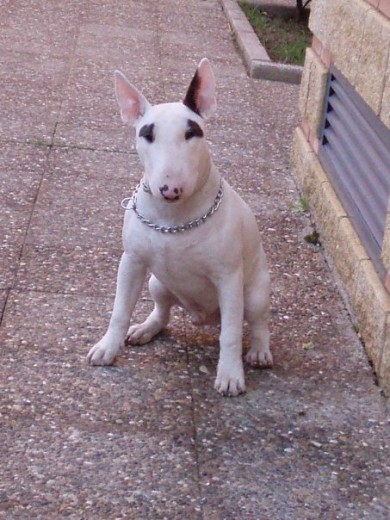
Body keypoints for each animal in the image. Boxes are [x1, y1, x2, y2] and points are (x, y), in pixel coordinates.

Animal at [87, 57, 272, 396]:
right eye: (147, 134)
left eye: (192, 133)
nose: (169, 189)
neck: (174, 220)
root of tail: (202, 318)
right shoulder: (131, 262)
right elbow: (120, 310)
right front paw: (107, 347)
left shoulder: (228, 278)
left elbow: (230, 334)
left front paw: (229, 375)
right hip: (156, 283)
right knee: (162, 312)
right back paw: (144, 329)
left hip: (254, 293)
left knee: (256, 322)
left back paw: (259, 351)